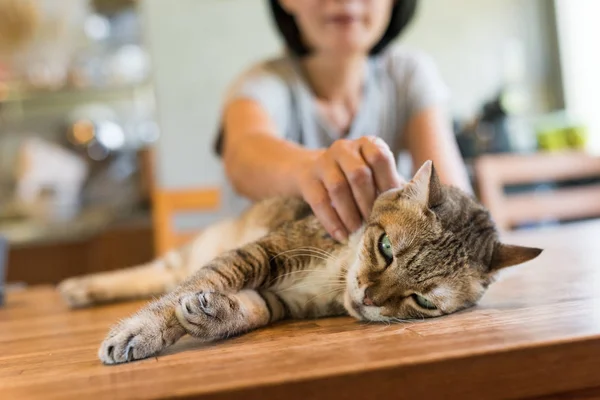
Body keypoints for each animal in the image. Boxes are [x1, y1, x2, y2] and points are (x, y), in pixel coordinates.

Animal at [58, 159, 540, 362]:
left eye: (422, 301)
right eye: (386, 248)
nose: (368, 296)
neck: (337, 275)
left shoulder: (278, 302)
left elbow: (245, 310)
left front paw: (212, 314)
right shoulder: (263, 252)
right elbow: (187, 290)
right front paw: (142, 331)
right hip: (193, 251)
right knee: (161, 273)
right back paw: (78, 286)